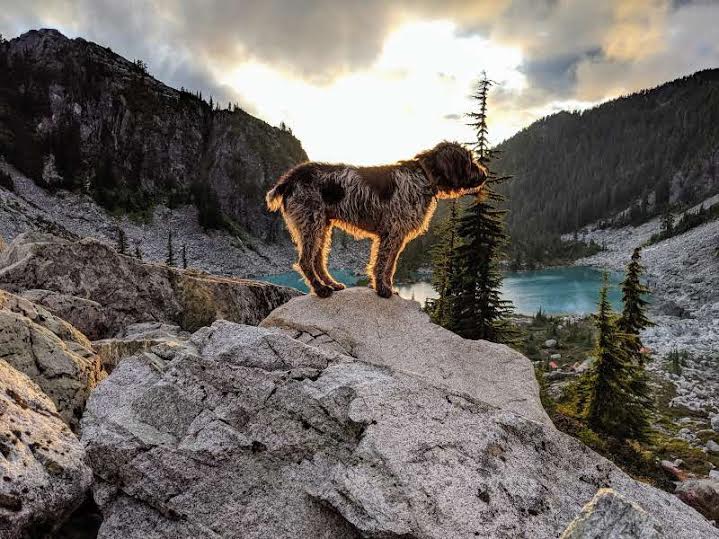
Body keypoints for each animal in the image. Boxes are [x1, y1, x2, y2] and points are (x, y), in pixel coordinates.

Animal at [266, 141, 490, 298]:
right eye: (468, 160)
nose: (485, 175)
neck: (423, 177)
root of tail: (289, 179)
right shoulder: (390, 233)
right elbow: (381, 264)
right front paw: (382, 290)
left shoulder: (398, 237)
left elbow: (391, 266)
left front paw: (389, 288)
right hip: (311, 224)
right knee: (305, 261)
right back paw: (320, 289)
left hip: (322, 226)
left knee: (317, 260)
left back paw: (331, 284)